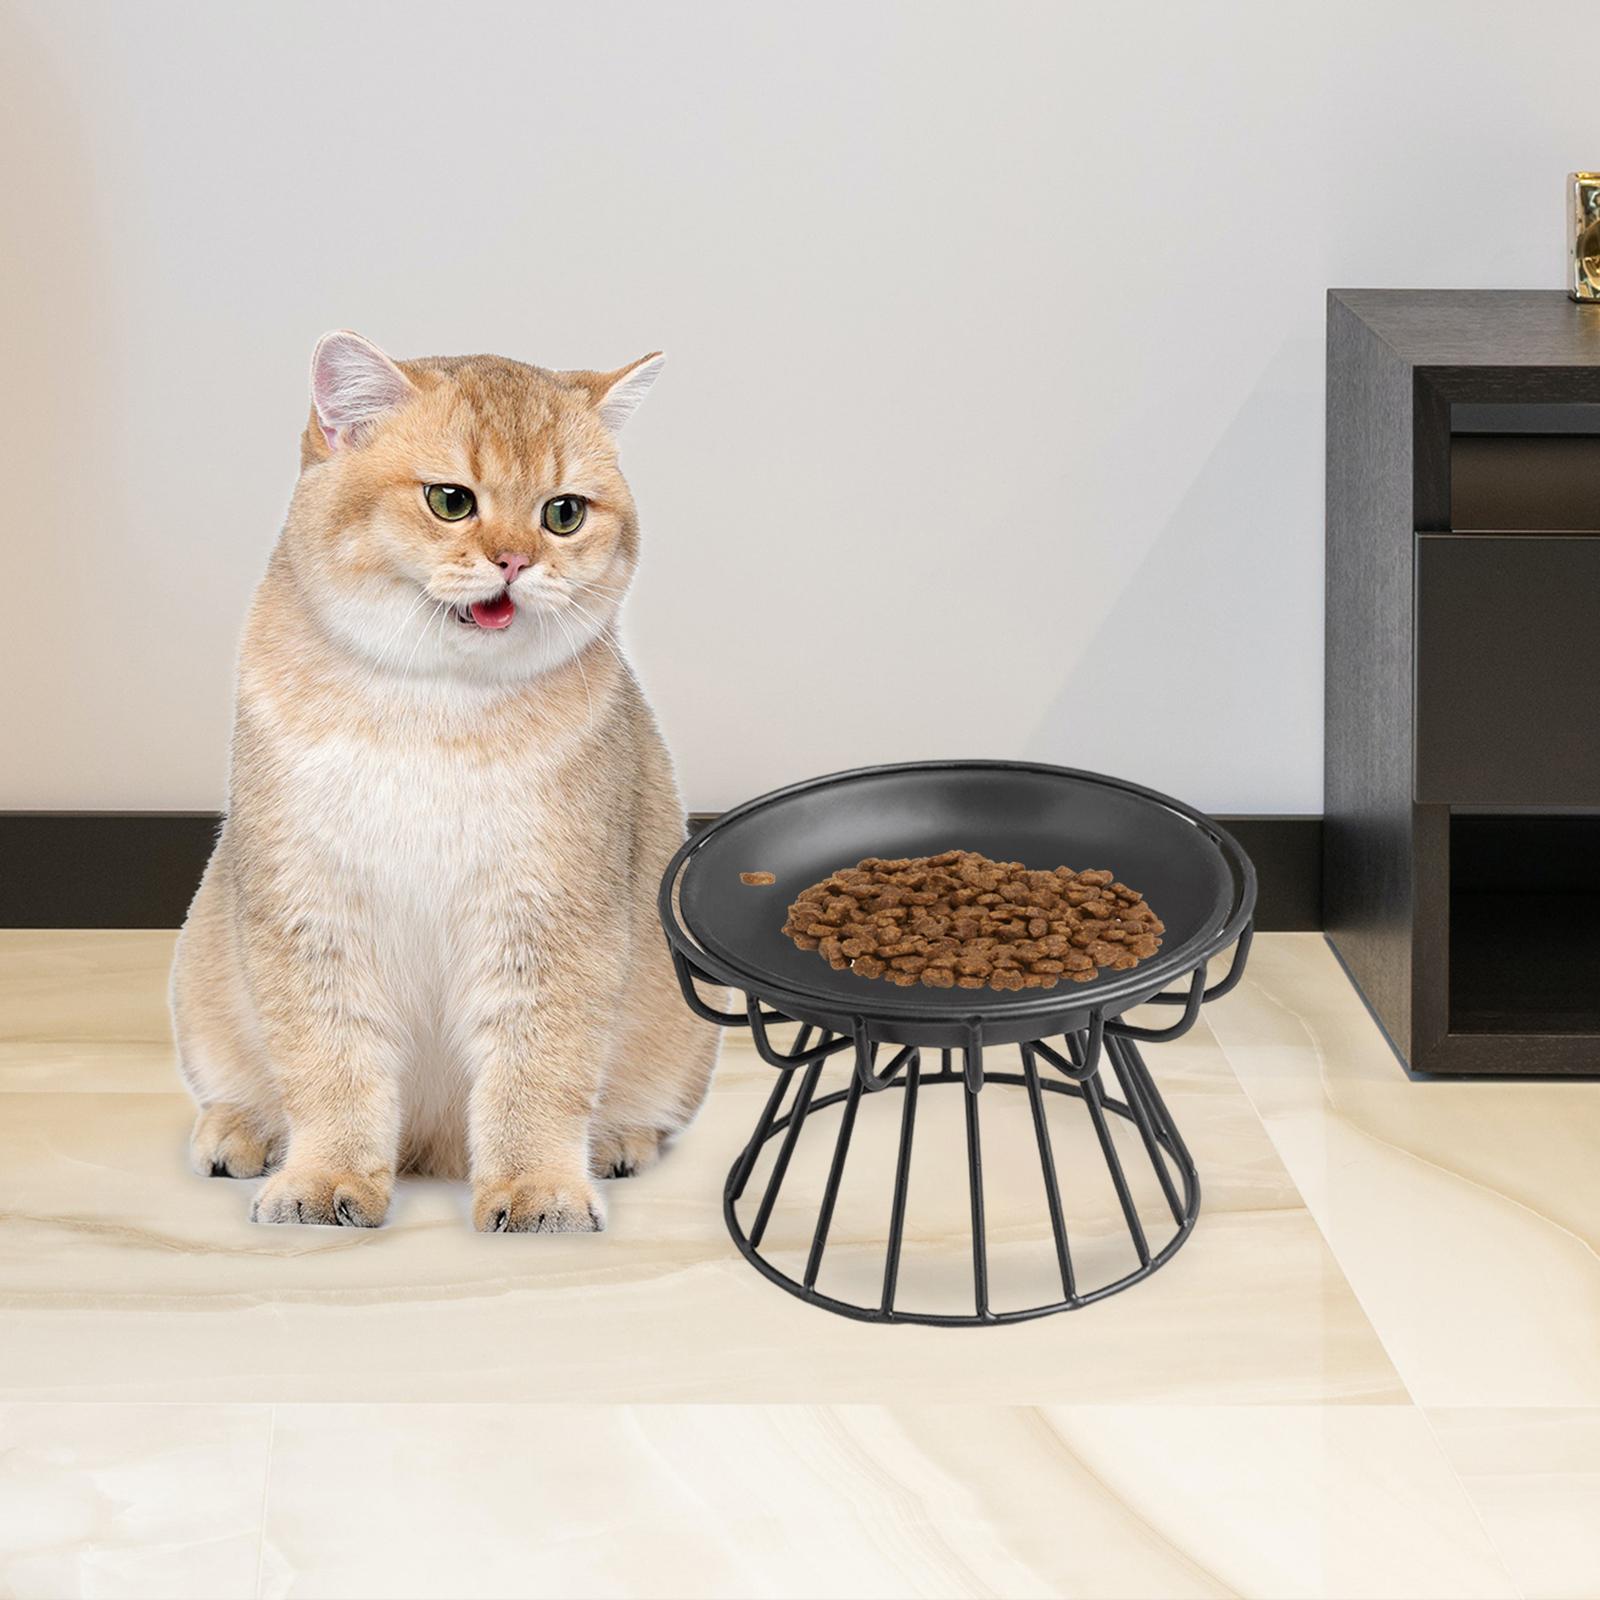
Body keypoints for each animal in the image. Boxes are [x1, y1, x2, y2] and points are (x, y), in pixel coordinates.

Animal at [170, 331, 720, 1231]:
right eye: (451, 501)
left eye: (564, 513)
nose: (515, 560)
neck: (432, 704)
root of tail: (428, 1152)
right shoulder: (311, 908)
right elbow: (329, 1062)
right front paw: (325, 1179)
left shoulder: (550, 916)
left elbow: (539, 1067)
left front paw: (536, 1188)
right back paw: (243, 1131)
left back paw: (616, 1141)